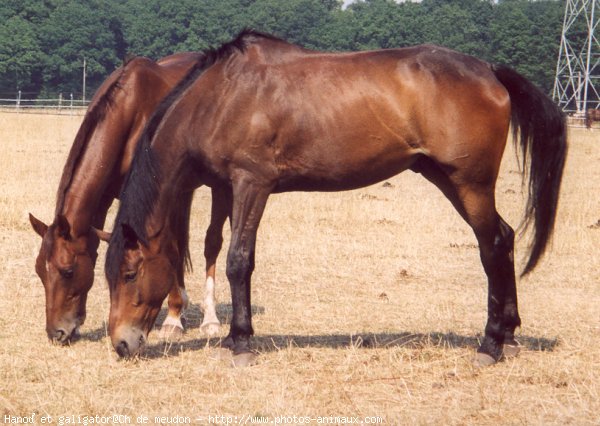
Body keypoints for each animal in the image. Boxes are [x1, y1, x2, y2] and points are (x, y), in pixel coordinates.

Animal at [28, 51, 230, 344]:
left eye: (67, 271)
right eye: (39, 271)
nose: (56, 332)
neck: (131, 112)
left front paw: (173, 319)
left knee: (211, 243)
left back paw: (208, 318)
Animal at [103, 29, 568, 366]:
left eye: (129, 273)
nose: (121, 344)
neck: (221, 97)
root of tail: (489, 70)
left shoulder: (252, 184)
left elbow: (239, 261)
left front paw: (241, 343)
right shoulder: (231, 190)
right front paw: (234, 336)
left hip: (470, 184)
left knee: (493, 245)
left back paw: (490, 345)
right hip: (448, 179)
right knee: (505, 238)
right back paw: (508, 334)